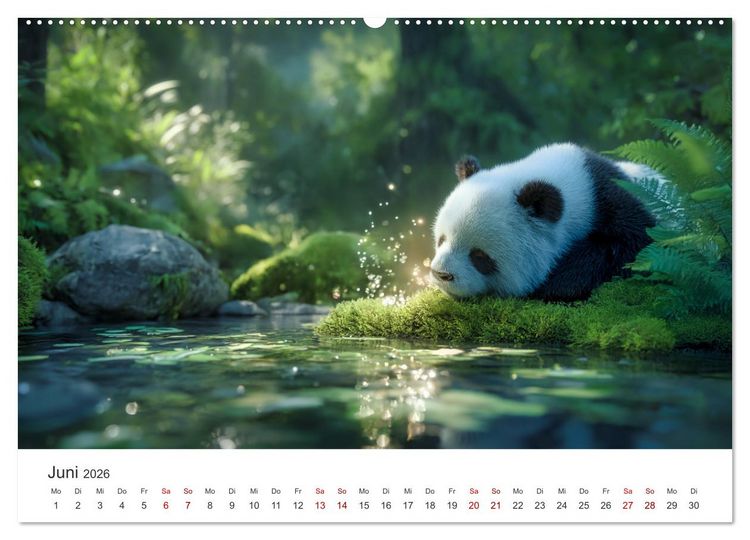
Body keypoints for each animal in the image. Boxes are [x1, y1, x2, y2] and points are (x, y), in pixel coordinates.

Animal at [430, 143, 656, 301]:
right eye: (441, 240)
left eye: (480, 256)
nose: (441, 274)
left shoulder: (615, 202)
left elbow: (635, 245)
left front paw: (558, 283)